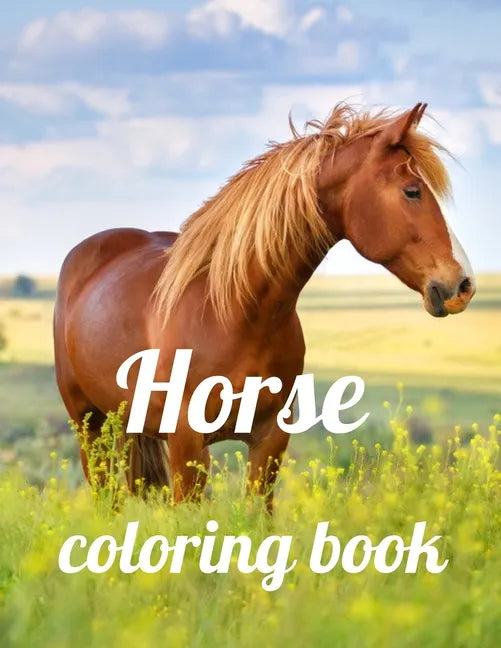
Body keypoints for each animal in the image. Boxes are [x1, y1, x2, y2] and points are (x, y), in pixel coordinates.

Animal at [54, 102, 475, 511]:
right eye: (412, 191)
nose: (463, 284)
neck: (234, 313)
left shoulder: (270, 440)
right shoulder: (186, 444)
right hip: (89, 427)